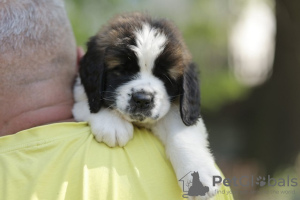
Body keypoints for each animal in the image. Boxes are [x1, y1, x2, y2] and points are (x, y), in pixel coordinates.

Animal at [73, 12, 220, 198]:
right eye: (122, 70)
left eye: (165, 77)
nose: (142, 99)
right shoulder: (80, 94)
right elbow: (91, 103)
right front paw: (112, 124)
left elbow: (182, 134)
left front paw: (199, 173)